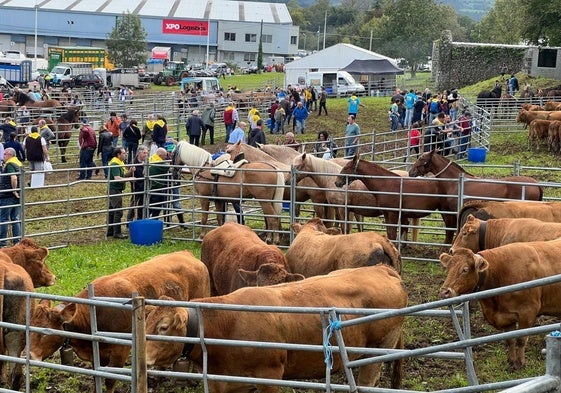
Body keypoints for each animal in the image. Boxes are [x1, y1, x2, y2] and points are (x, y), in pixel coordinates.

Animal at [27, 251, 210, 392]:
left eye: (46, 332)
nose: (28, 355)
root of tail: (187, 253)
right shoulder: (96, 354)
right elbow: (98, 376)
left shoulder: (120, 351)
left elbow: (110, 380)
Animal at [144, 264, 406, 392]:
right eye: (145, 323)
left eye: (164, 327)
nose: (142, 359)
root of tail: (382, 269)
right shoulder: (226, 384)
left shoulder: (269, 377)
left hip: (379, 349)